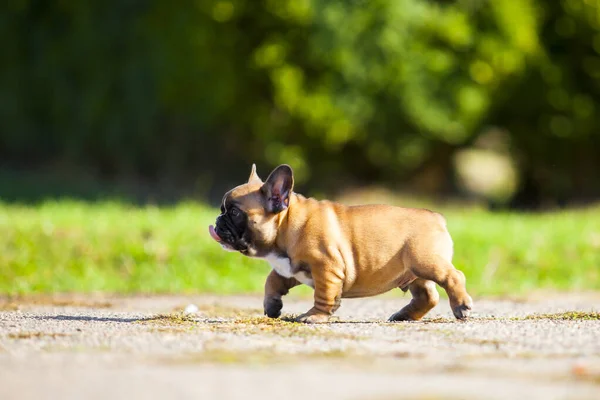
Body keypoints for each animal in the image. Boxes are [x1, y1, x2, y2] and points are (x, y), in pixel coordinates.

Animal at [210, 164, 474, 324]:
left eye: (234, 212)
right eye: (224, 209)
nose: (217, 220)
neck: (286, 225)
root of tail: (436, 217)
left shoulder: (326, 267)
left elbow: (323, 294)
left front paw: (314, 316)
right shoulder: (290, 269)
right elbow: (272, 280)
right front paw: (272, 306)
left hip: (425, 261)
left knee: (454, 276)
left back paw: (461, 306)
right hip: (412, 272)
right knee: (427, 295)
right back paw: (404, 315)